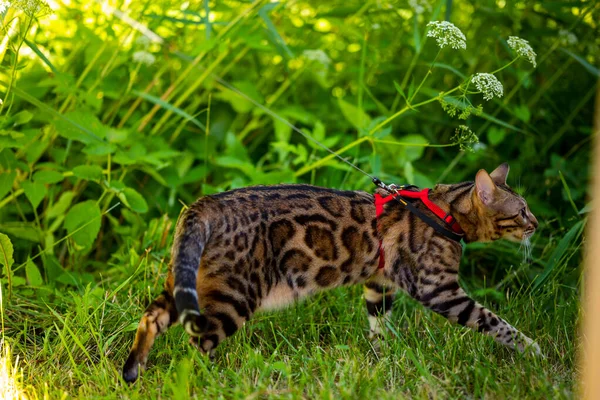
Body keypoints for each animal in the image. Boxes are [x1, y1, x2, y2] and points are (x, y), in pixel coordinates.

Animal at [123, 162, 544, 382]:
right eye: (522, 211)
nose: (537, 224)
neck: (445, 211)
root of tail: (205, 203)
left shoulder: (379, 284)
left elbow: (379, 326)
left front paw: (382, 360)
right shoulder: (438, 289)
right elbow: (493, 321)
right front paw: (531, 349)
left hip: (187, 281)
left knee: (152, 316)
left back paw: (133, 368)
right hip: (234, 295)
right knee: (197, 344)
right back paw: (210, 380)